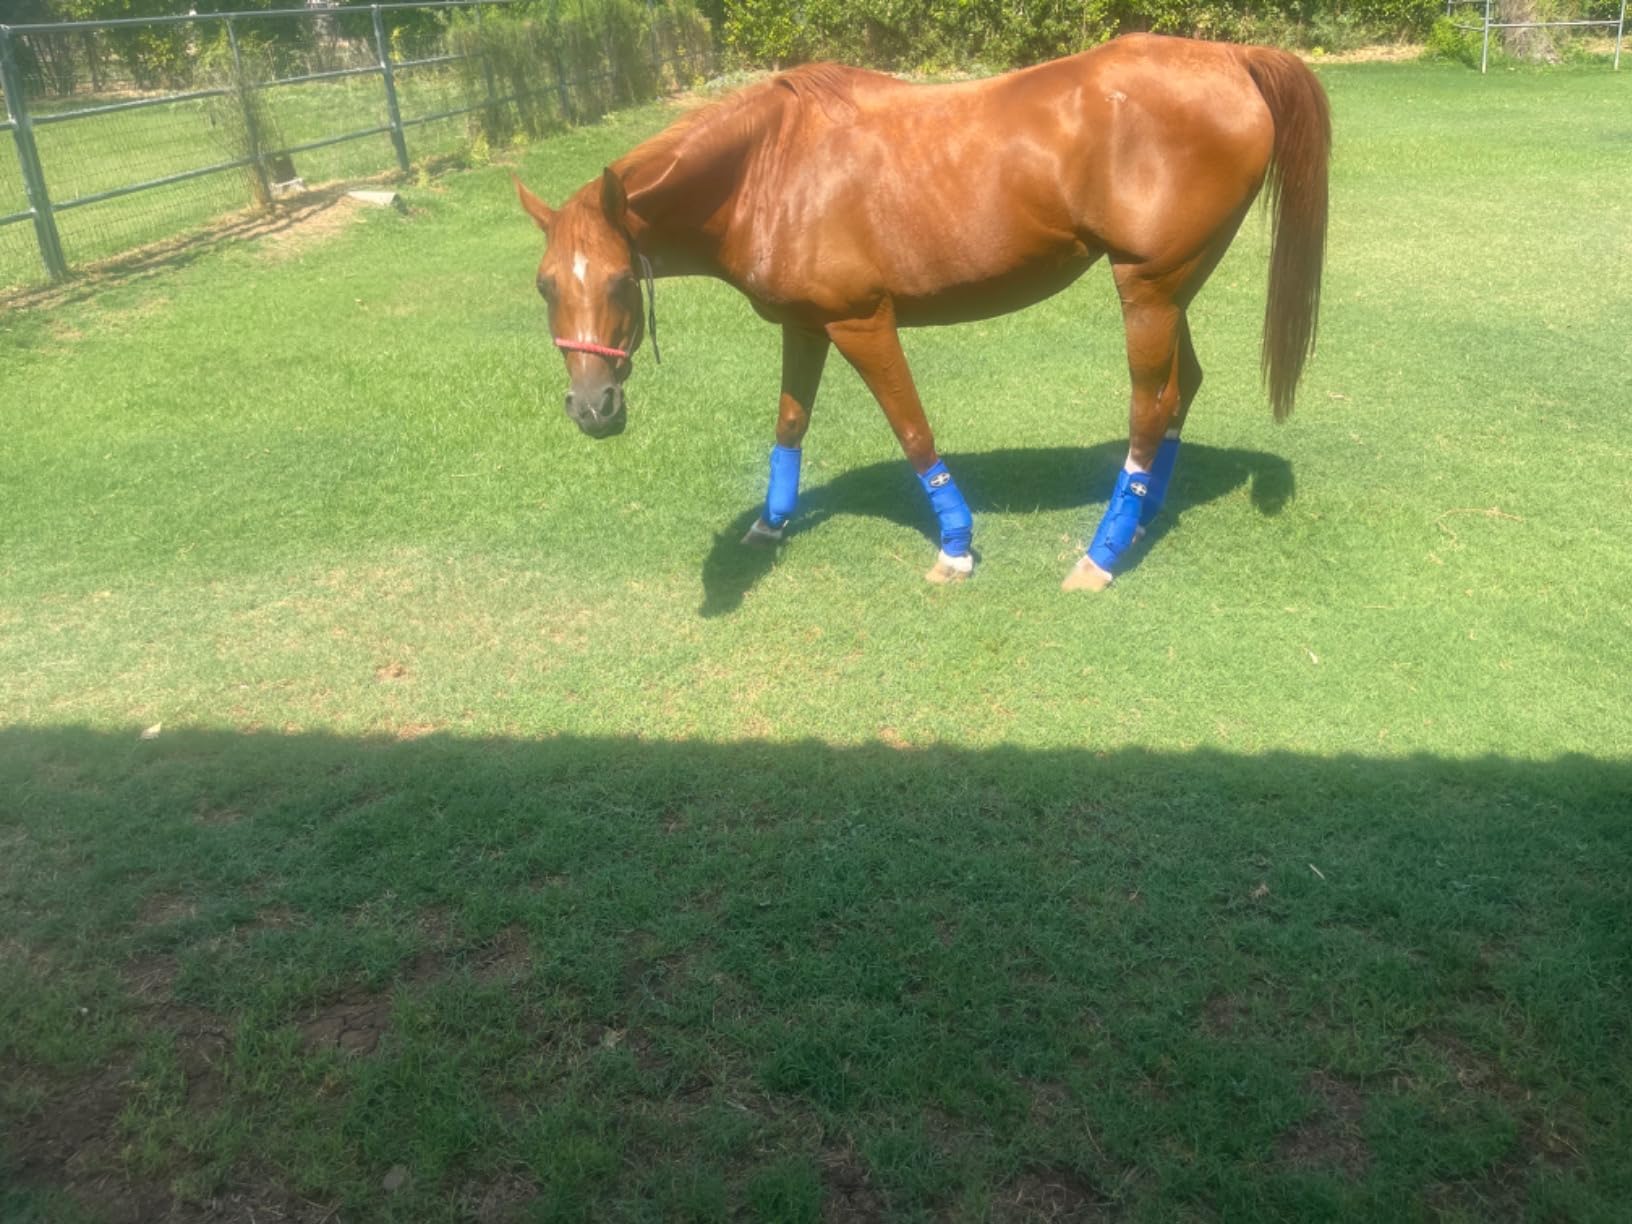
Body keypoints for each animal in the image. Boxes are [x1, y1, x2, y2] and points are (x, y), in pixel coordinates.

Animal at [514, 33, 1330, 590]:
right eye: (546, 285)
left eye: (621, 281)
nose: (592, 407)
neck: (772, 167)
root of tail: (1230, 58)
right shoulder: (805, 326)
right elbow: (790, 424)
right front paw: (771, 523)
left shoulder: (861, 323)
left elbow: (912, 430)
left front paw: (956, 545)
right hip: (1168, 289)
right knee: (1180, 390)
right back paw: (1140, 516)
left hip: (1148, 292)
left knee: (1149, 407)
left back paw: (1102, 552)